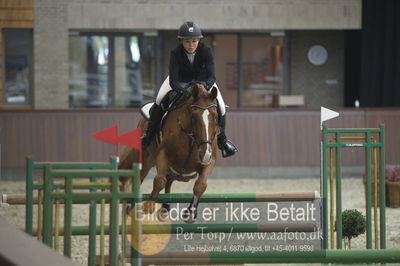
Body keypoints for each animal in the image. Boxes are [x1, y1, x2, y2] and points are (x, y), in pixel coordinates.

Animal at [119, 83, 219, 222]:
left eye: (215, 116)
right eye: (193, 116)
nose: (205, 155)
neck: (191, 138)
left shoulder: (211, 160)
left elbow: (201, 185)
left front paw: (190, 213)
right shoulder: (163, 154)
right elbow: (159, 181)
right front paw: (149, 206)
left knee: (169, 180)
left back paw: (165, 208)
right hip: (146, 160)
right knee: (140, 178)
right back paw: (132, 206)